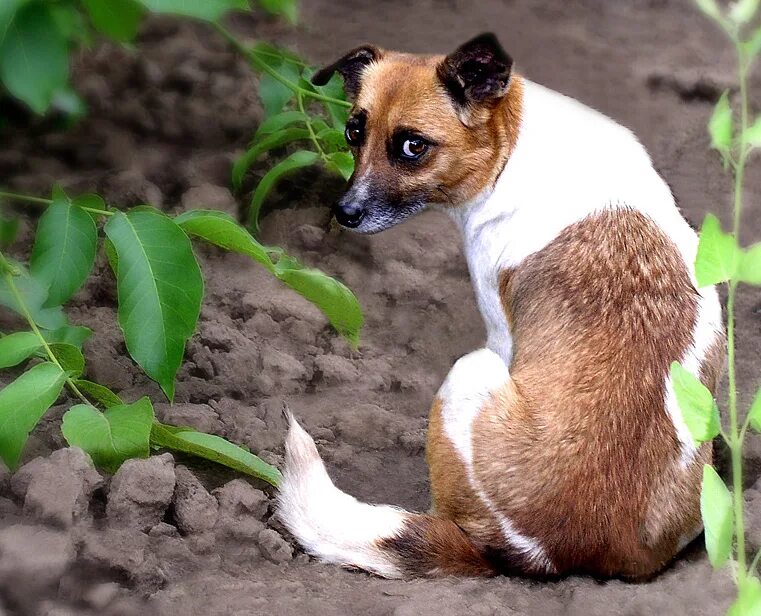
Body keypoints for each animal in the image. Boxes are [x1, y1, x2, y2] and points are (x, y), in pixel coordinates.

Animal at [274, 32, 724, 584]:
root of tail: (552, 552)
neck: (511, 145)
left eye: (413, 147)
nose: (344, 213)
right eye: (352, 131)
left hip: (470, 372)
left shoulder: (498, 329)